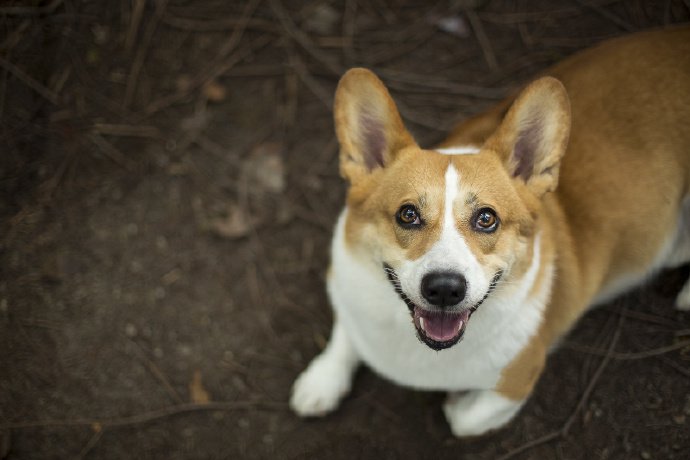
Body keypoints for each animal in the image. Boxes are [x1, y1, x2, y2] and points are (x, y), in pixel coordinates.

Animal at [288, 27, 688, 436]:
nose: (444, 289)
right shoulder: (345, 290)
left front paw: (455, 402)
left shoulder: (519, 380)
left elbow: (464, 420)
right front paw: (322, 381)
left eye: (486, 219)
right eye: (407, 214)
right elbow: (344, 333)